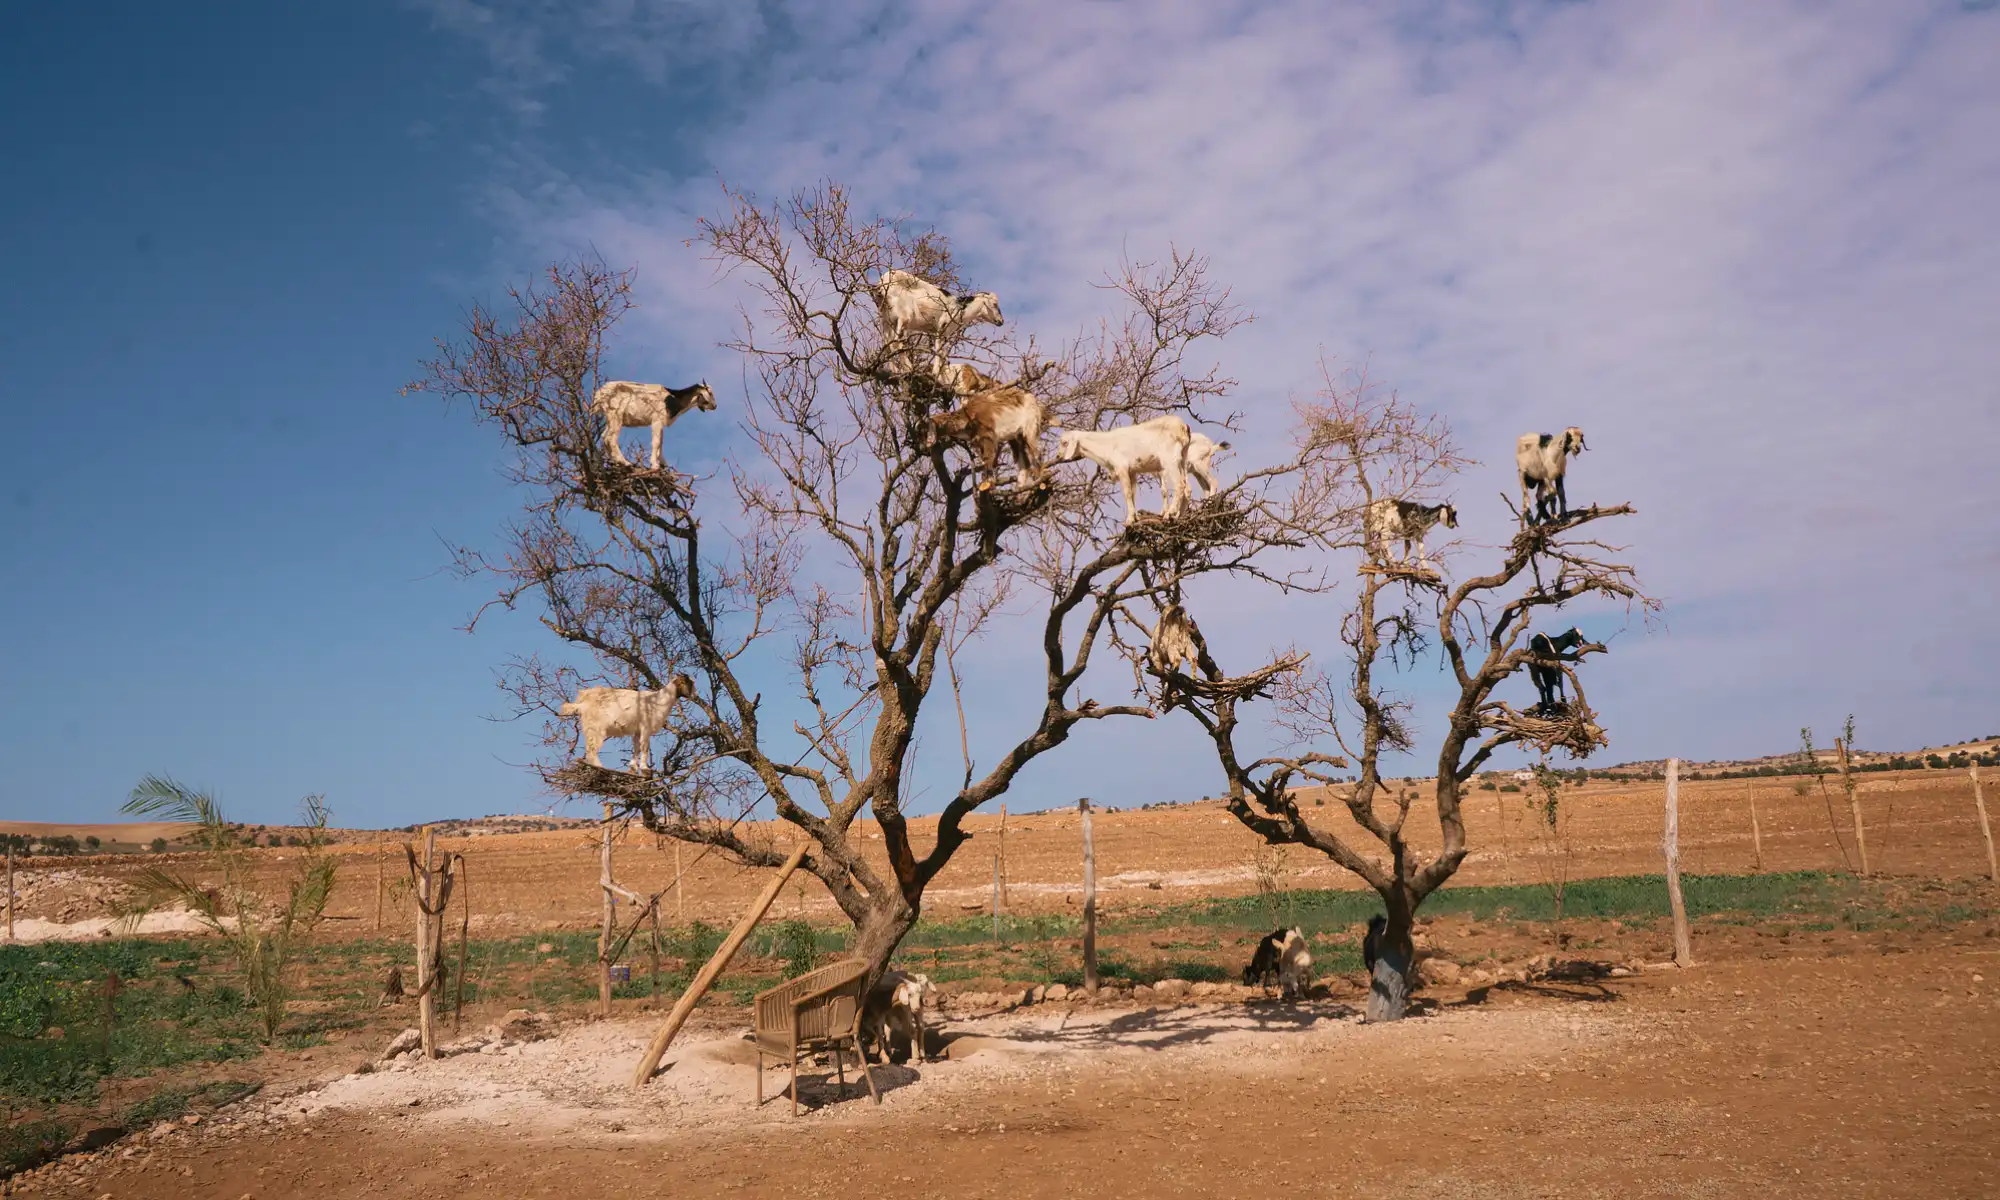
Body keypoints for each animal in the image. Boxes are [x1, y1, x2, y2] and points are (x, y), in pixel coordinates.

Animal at [556, 672, 696, 772]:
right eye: (688, 683)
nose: (695, 696)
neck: (658, 701)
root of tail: (582, 704)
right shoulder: (646, 728)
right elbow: (645, 747)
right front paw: (644, 767)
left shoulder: (637, 731)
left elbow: (636, 747)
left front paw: (633, 766)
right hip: (596, 728)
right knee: (592, 749)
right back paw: (600, 767)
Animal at [588, 380, 716, 468]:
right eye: (710, 393)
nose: (715, 406)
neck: (672, 399)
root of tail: (599, 394)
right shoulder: (656, 421)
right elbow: (656, 442)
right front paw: (655, 465)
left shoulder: (661, 423)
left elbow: (661, 443)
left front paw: (664, 464)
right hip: (615, 415)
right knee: (611, 438)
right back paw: (625, 462)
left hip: (611, 419)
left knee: (604, 436)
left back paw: (615, 461)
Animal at [1056, 418, 1192, 520]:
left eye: (1065, 443)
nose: (1058, 456)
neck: (1107, 445)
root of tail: (1183, 427)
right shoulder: (1132, 472)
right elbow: (1133, 494)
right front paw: (1135, 517)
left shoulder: (1122, 468)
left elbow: (1127, 493)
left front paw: (1129, 520)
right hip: (1183, 460)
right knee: (1187, 488)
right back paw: (1177, 516)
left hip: (1170, 461)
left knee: (1179, 484)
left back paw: (1170, 513)